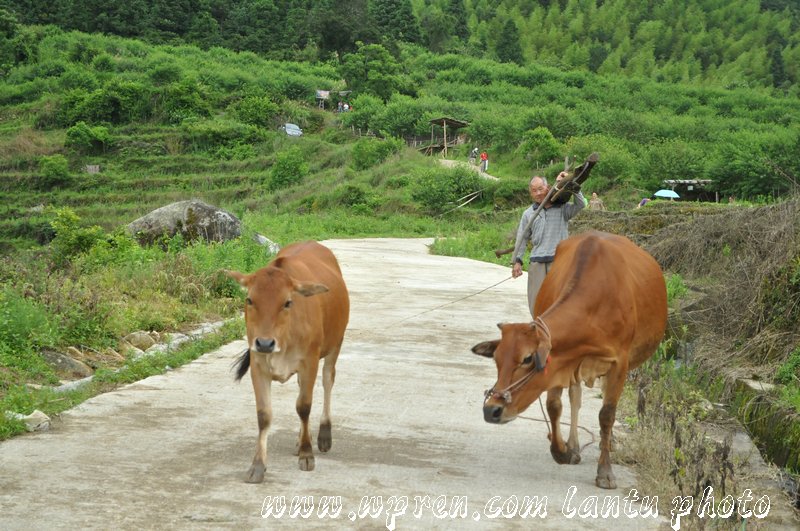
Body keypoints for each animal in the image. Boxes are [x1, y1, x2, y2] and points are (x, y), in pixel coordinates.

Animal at [227, 243, 348, 484]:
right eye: (249, 300)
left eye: (288, 302)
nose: (265, 343)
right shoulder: (258, 366)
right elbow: (264, 415)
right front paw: (258, 465)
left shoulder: (310, 361)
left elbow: (304, 406)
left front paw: (307, 454)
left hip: (335, 345)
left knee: (328, 381)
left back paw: (323, 435)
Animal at [468, 231, 668, 488]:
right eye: (497, 360)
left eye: (527, 358)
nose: (491, 410)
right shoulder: (561, 363)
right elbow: (554, 406)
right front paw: (563, 450)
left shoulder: (619, 364)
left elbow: (607, 414)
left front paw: (605, 471)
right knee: (575, 398)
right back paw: (573, 443)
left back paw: (608, 441)